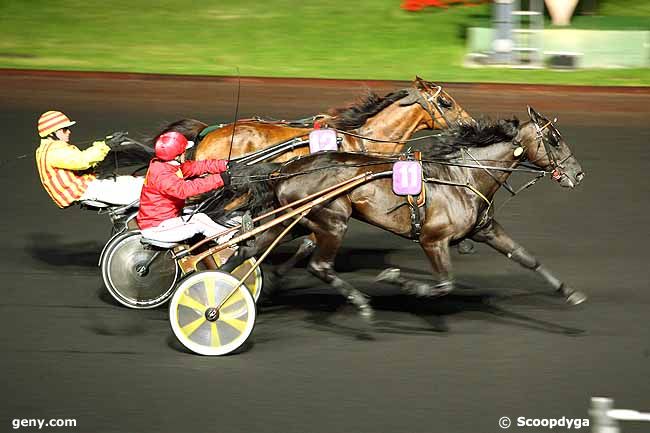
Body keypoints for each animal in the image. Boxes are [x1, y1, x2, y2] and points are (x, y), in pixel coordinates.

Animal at [224, 107, 588, 318]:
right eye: (554, 139)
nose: (579, 173)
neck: (462, 177)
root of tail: (285, 169)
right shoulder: (433, 240)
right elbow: (444, 284)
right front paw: (397, 280)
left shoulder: (486, 229)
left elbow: (527, 258)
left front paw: (570, 292)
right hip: (332, 221)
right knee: (319, 265)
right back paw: (360, 301)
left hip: (295, 220)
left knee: (249, 250)